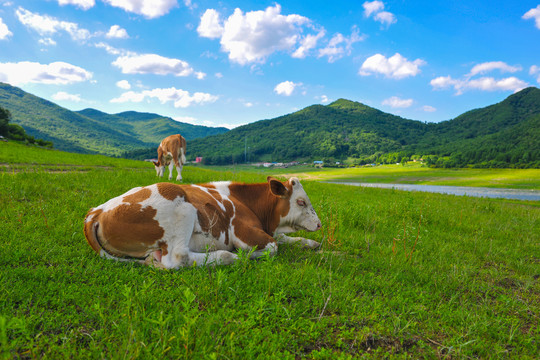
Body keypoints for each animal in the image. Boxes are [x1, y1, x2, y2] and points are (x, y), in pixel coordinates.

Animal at [83, 176, 322, 268]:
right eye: (301, 201)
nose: (319, 225)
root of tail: (97, 211)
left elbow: (286, 238)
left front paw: (312, 244)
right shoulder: (243, 230)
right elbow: (273, 247)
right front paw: (245, 254)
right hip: (184, 208)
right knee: (179, 257)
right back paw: (229, 256)